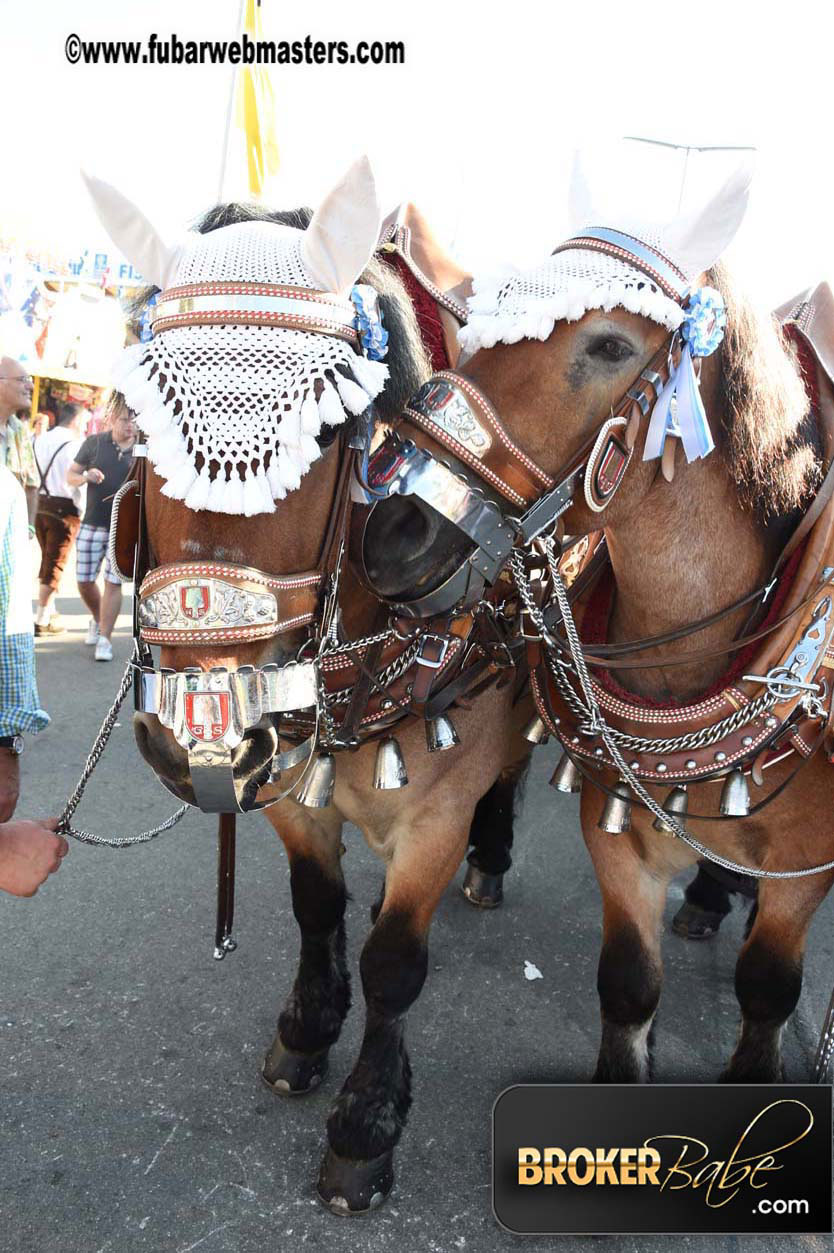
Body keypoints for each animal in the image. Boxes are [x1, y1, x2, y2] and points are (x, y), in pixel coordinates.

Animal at [122, 187, 525, 1202]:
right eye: (143, 421)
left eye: (328, 430)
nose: (197, 734)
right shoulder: (286, 789)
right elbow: (316, 904)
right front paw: (306, 1027)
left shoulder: (435, 813)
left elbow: (395, 961)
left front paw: (368, 1119)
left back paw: (494, 858)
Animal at [440, 261, 831, 1077]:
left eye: (611, 344)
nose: (395, 533)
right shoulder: (618, 838)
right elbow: (627, 987)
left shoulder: (807, 869)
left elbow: (768, 989)